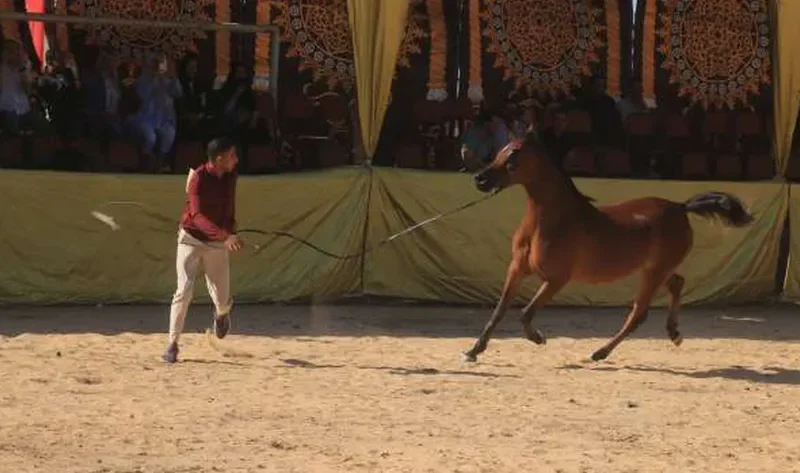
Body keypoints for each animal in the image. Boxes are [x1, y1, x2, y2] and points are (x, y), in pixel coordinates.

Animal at [466, 135, 752, 364]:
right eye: (501, 150)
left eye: (514, 155)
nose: (480, 179)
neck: (550, 222)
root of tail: (680, 207)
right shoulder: (516, 269)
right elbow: (499, 311)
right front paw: (473, 351)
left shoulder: (557, 278)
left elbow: (525, 313)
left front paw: (538, 338)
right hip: (656, 269)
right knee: (677, 283)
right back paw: (674, 333)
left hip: (653, 273)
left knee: (638, 313)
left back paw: (600, 352)